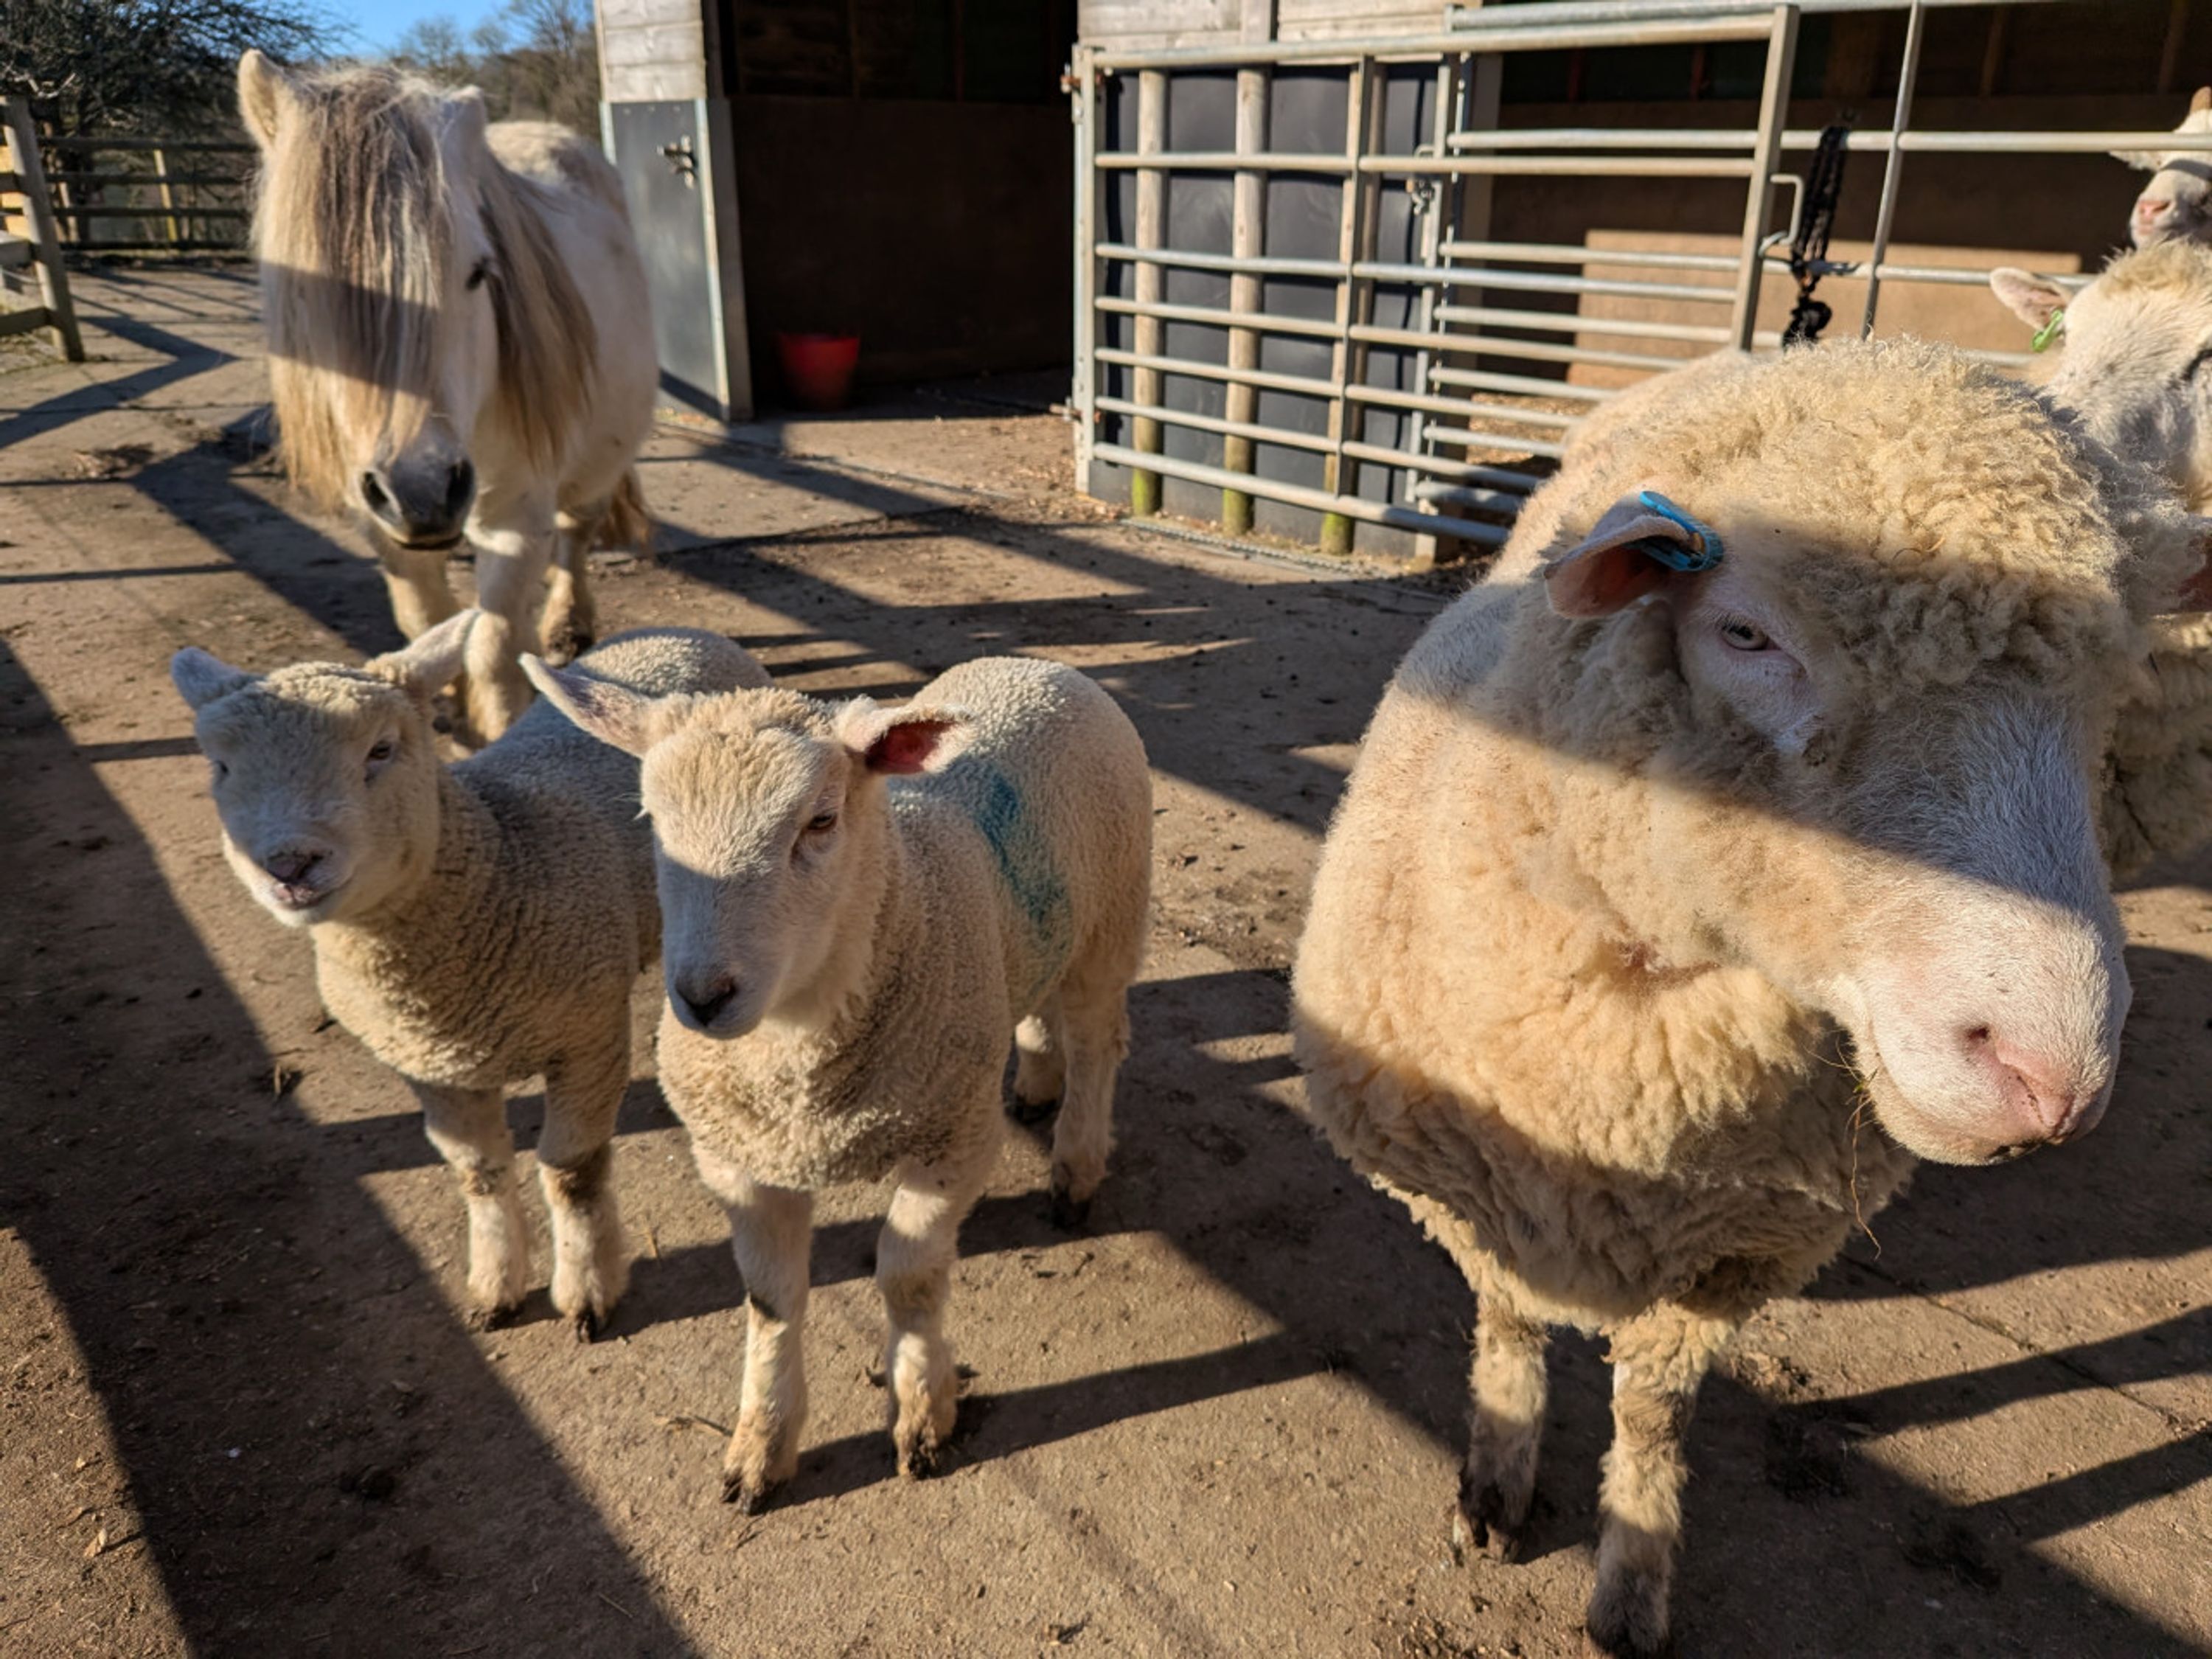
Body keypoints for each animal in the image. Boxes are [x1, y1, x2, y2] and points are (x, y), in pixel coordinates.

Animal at [170, 613, 770, 1336]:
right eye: (222, 766)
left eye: (382, 750)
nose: (289, 865)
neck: (501, 859)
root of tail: (680, 631)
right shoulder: (431, 1067)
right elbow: (478, 1172)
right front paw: (495, 1286)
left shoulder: (588, 1039)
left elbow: (571, 1172)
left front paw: (588, 1292)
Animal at [237, 51, 658, 744]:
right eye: (308, 290)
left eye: (479, 273)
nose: (423, 493)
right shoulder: (381, 525)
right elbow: (428, 623)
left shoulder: (514, 517)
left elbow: (492, 645)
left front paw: (497, 728)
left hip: (599, 458)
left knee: (576, 534)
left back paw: (568, 626)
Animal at [522, 652, 1152, 1507]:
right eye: (651, 820)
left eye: (819, 822)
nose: (703, 997)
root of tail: (1037, 666)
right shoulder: (738, 1161)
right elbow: (771, 1298)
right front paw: (761, 1447)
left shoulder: (954, 1140)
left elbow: (909, 1279)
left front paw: (922, 1418)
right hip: (1029, 938)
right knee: (1039, 1005)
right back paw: (1034, 1082)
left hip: (1111, 921)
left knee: (1096, 1042)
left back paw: (1076, 1167)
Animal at [1290, 338, 2199, 1657]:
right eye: (1745, 632)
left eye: (2111, 686)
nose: (2049, 1072)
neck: (1622, 1105)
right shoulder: (1472, 1184)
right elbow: (1508, 1325)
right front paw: (1496, 1482)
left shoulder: (1735, 1251)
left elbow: (1655, 1414)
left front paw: (1631, 1582)